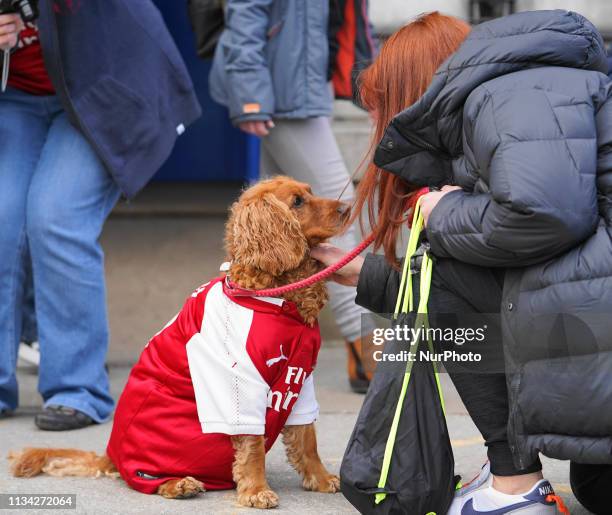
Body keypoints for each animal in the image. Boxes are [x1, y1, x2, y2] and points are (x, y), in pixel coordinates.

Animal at [9, 177, 350, 508]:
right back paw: (177, 484)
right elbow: (252, 444)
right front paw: (256, 490)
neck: (274, 296)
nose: (347, 208)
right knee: (143, 479)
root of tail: (111, 456)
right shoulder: (243, 382)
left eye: (310, 192)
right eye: (297, 202)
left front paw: (320, 478)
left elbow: (307, 437)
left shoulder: (300, 378)